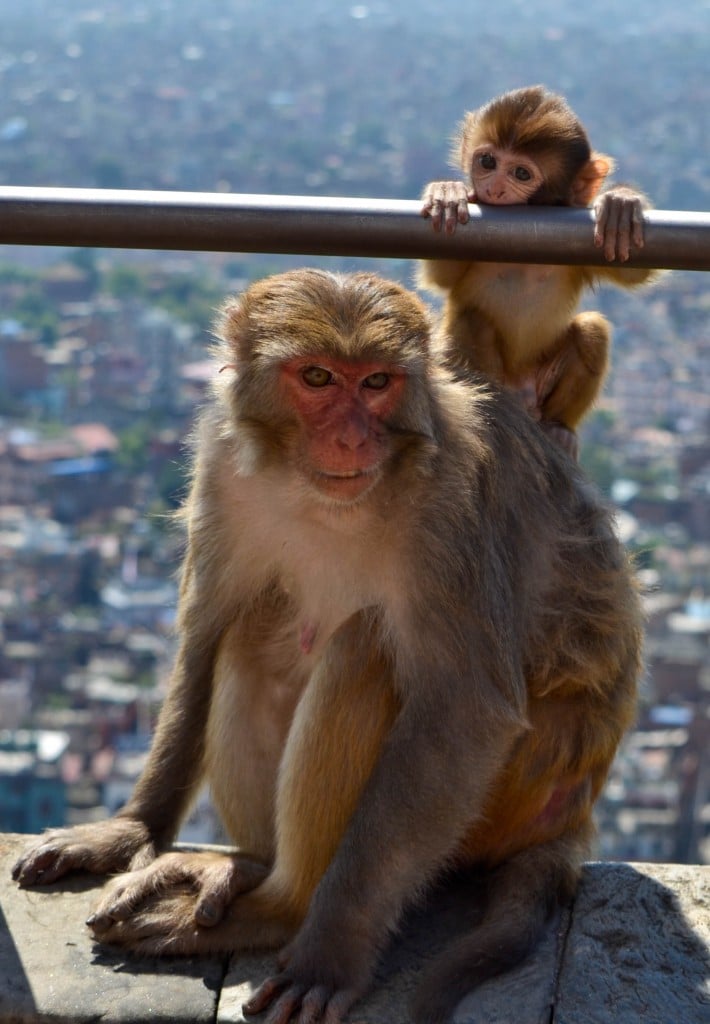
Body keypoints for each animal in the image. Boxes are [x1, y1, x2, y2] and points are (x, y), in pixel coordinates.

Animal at [13, 269, 643, 1024]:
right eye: (316, 377)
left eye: (376, 382)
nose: (350, 437)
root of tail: (571, 818)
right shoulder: (224, 471)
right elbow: (205, 635)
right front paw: (130, 830)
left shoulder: (453, 507)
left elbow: (466, 708)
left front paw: (332, 947)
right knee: (253, 634)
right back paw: (246, 868)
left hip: (510, 799)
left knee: (366, 652)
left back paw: (282, 909)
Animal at [420, 84, 657, 458]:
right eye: (487, 162)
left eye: (521, 174)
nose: (494, 188)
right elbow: (441, 277)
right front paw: (449, 192)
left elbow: (634, 271)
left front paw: (621, 202)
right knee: (472, 318)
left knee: (591, 331)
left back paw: (560, 430)